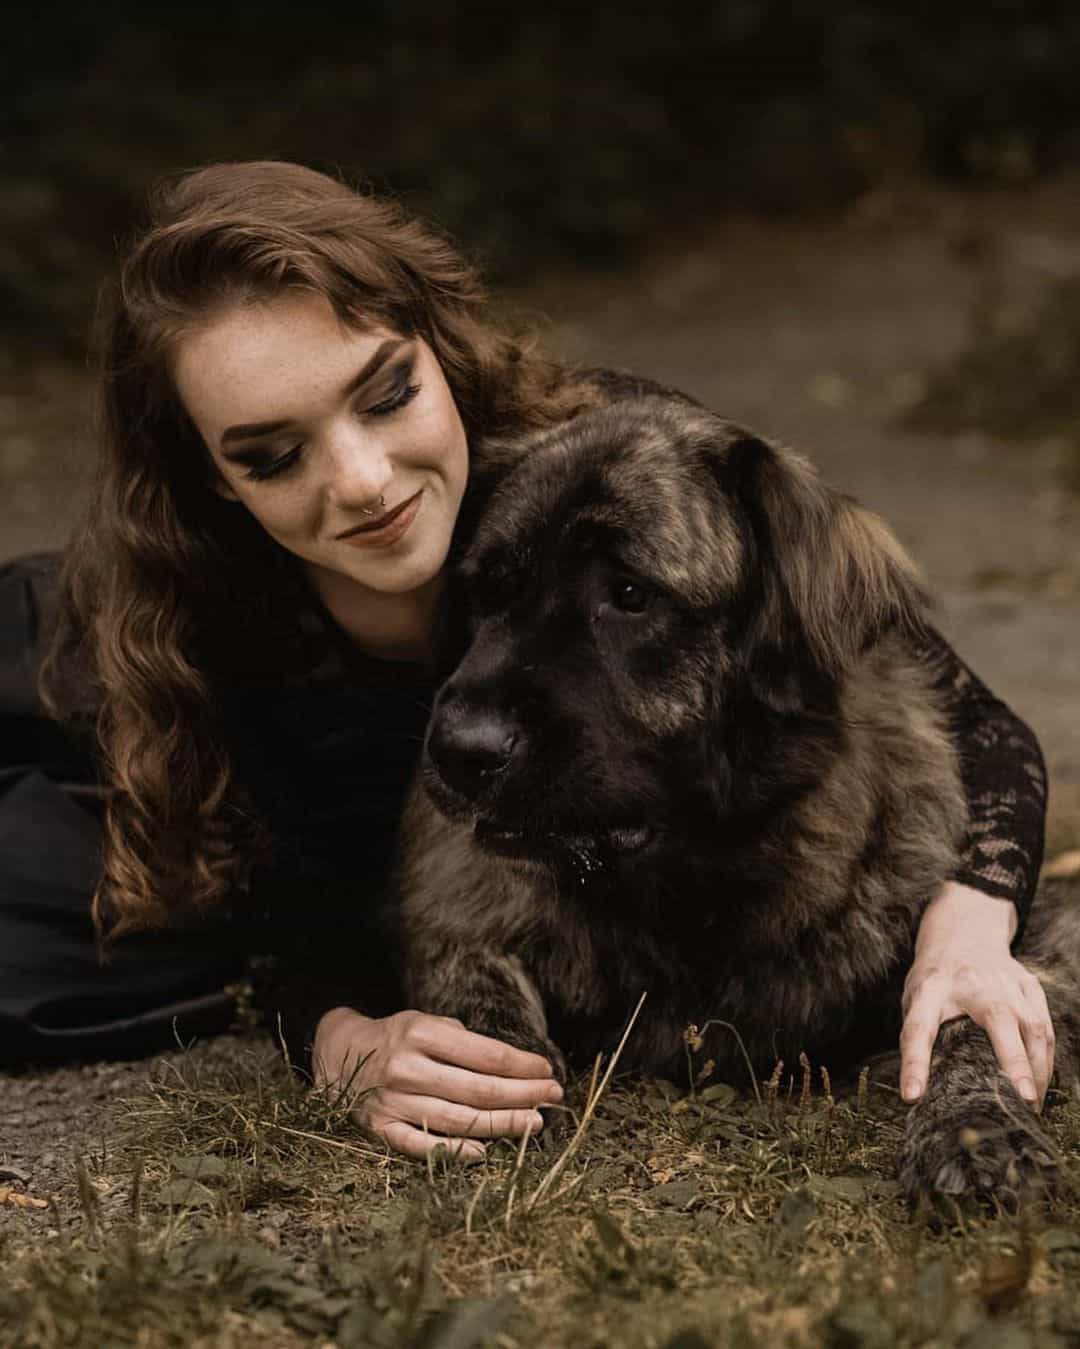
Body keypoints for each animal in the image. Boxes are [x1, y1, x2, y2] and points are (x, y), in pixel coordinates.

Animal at [399, 393, 1078, 1197]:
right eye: (490, 589)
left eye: (630, 594)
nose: (460, 750)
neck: (700, 872)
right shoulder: (461, 900)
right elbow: (470, 979)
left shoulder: (1042, 935)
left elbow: (968, 1011)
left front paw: (976, 1130)